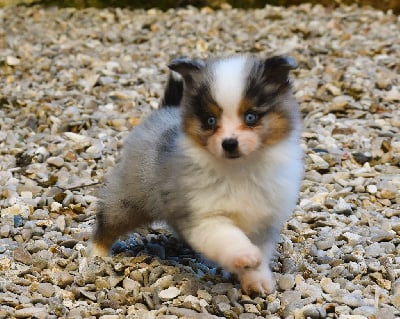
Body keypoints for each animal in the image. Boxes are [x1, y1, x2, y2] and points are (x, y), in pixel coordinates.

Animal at [89, 54, 304, 296]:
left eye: (251, 117)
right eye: (210, 120)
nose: (229, 144)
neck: (239, 170)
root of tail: (164, 111)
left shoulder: (263, 222)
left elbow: (259, 253)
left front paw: (256, 280)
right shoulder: (204, 216)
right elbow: (229, 237)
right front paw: (245, 255)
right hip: (132, 197)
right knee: (109, 217)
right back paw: (96, 253)